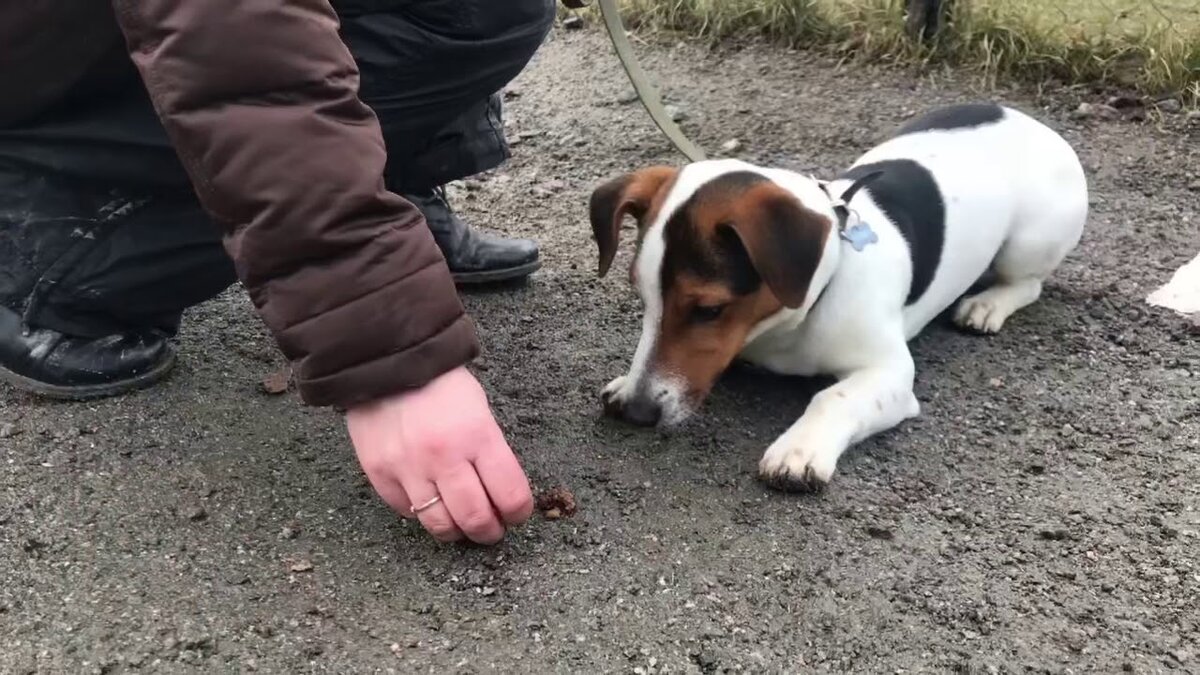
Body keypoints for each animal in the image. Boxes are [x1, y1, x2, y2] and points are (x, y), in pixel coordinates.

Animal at [590, 100, 1089, 487]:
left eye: (710, 309)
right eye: (644, 299)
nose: (639, 412)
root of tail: (1034, 123)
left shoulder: (891, 373)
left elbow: (833, 397)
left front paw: (800, 448)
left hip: (1029, 242)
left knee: (1028, 283)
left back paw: (988, 305)